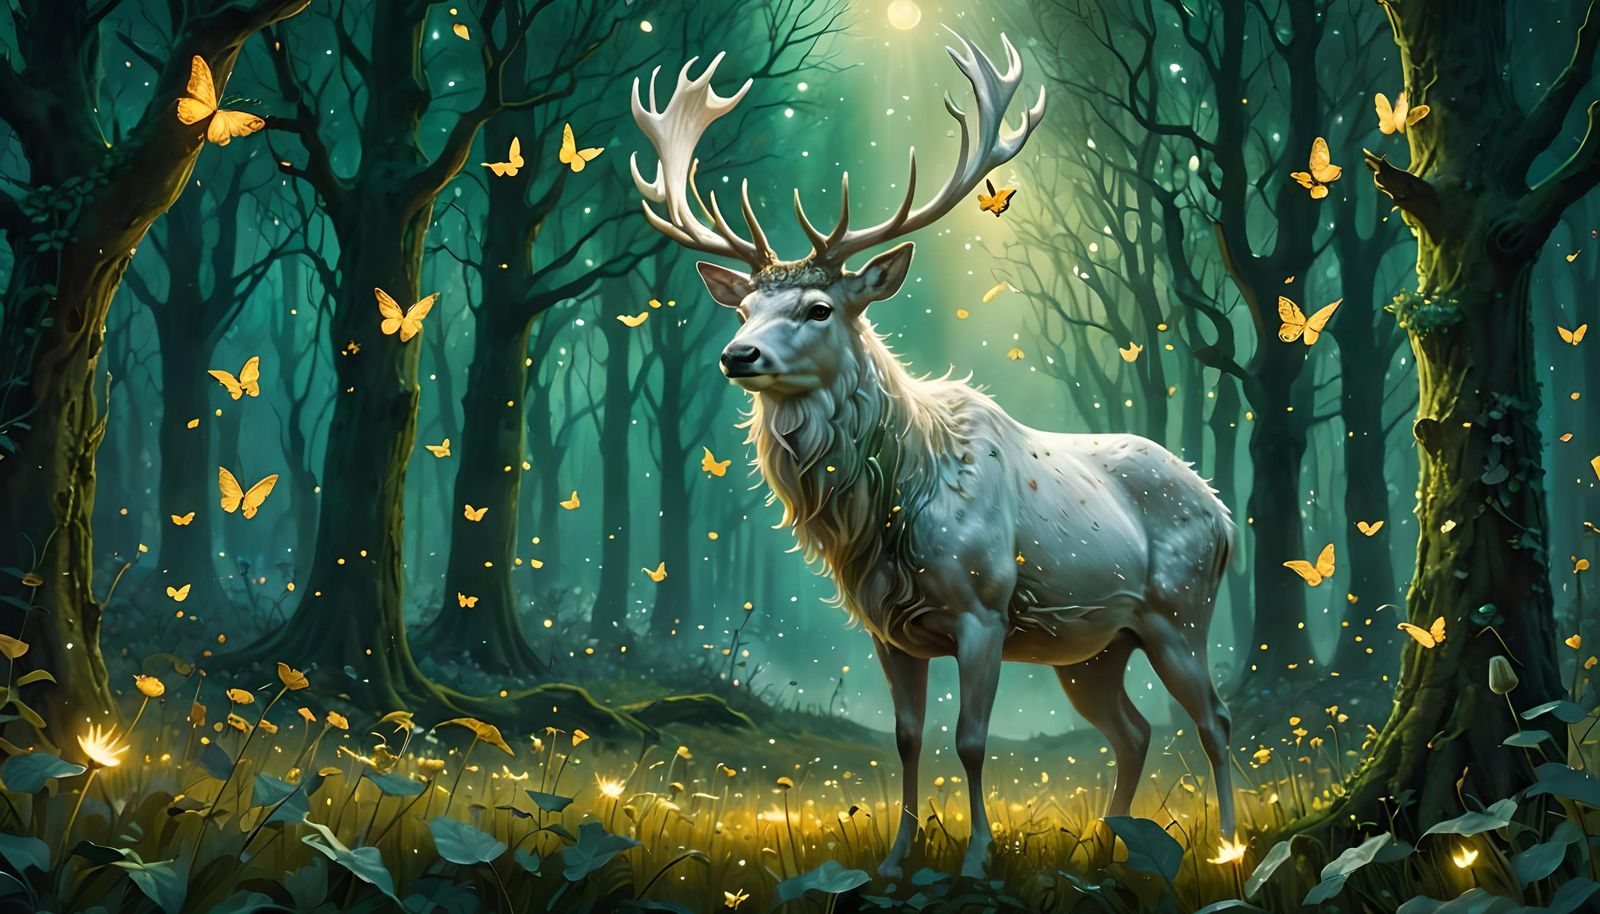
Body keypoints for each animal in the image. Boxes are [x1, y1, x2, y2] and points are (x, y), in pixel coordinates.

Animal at [631, 31, 1238, 879]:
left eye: (819, 307)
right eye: (745, 306)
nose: (737, 355)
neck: (890, 510)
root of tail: (1222, 511)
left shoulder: (984, 611)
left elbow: (972, 741)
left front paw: (977, 858)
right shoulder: (886, 627)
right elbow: (908, 739)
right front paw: (896, 857)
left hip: (1179, 612)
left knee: (1213, 720)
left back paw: (1227, 846)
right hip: (1091, 648)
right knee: (1134, 730)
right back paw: (1104, 845)